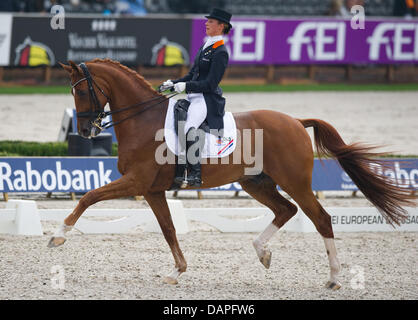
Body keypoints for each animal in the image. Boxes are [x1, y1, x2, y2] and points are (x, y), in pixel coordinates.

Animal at [50, 58, 416, 290]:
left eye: (80, 91)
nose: (85, 130)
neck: (142, 120)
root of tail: (297, 121)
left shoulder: (136, 182)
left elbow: (88, 197)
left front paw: (58, 236)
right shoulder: (152, 190)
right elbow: (168, 229)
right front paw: (177, 272)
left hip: (294, 182)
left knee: (320, 218)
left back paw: (334, 278)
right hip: (255, 182)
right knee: (286, 210)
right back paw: (262, 252)